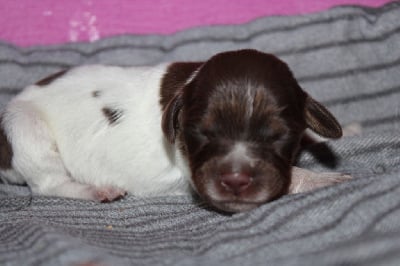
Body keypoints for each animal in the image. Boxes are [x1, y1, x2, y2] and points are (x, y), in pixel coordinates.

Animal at [0, 49, 350, 212]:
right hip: (25, 126)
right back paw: (96, 190)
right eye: (202, 133)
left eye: (278, 136)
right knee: (48, 184)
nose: (236, 180)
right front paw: (322, 178)